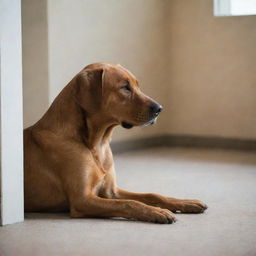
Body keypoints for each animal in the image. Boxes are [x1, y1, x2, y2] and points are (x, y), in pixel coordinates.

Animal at [24, 63, 207, 223]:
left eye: (137, 86)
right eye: (125, 87)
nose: (159, 108)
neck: (96, 143)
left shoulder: (111, 191)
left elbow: (152, 195)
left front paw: (185, 202)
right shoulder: (82, 199)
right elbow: (129, 203)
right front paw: (157, 211)